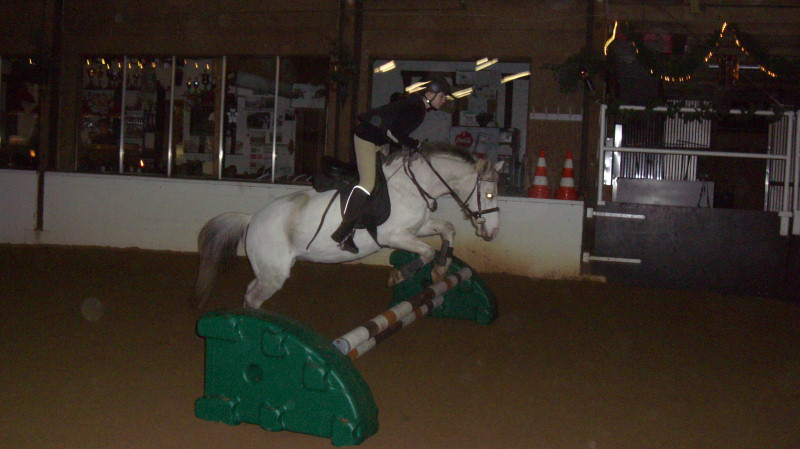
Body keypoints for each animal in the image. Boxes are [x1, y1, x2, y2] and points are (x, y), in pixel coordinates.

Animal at [193, 142, 502, 310]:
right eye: (489, 195)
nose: (493, 232)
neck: (414, 185)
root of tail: (252, 219)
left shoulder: (418, 227)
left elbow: (448, 229)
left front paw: (440, 269)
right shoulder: (394, 235)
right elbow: (425, 252)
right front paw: (398, 276)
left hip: (268, 270)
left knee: (249, 290)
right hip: (274, 274)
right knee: (254, 296)